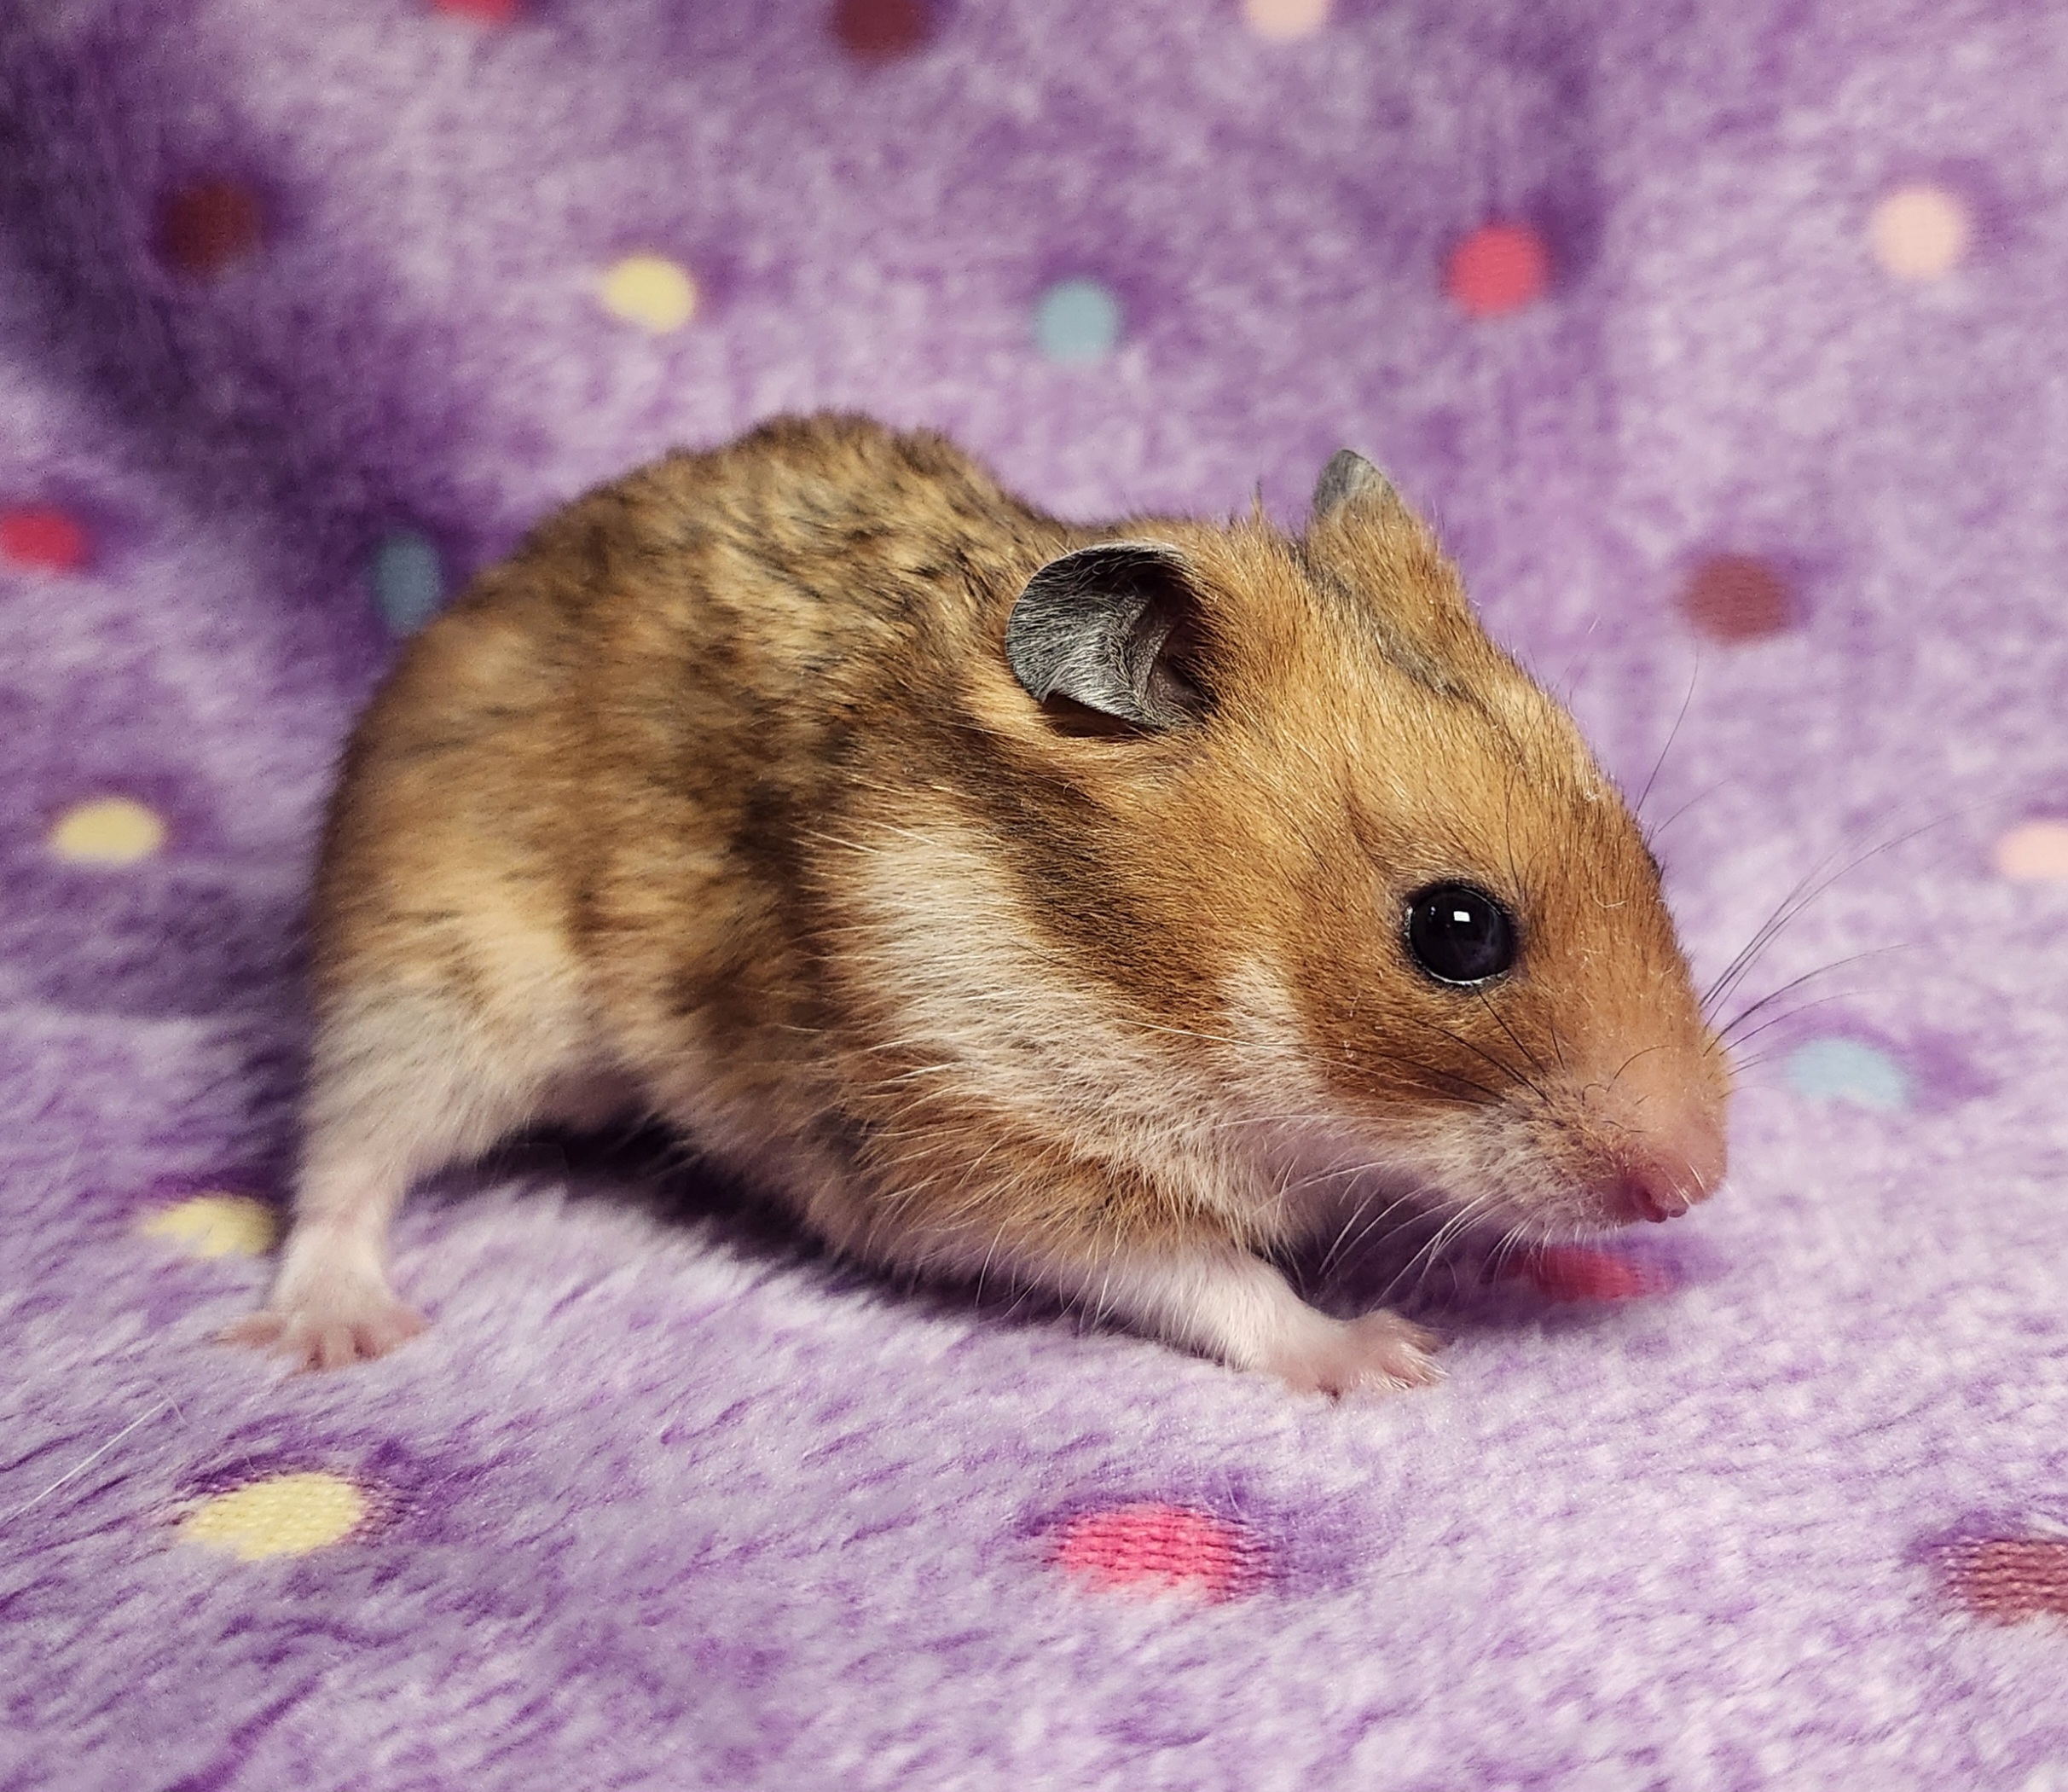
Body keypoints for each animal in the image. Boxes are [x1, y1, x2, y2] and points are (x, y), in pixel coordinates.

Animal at [229, 413, 1729, 1391]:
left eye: (1650, 862)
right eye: (1456, 931)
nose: (1699, 1185)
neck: (1137, 973)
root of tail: (490, 588)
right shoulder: (984, 1157)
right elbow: (1217, 1278)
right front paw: (1387, 1354)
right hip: (433, 967)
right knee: (343, 1156)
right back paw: (338, 1332)